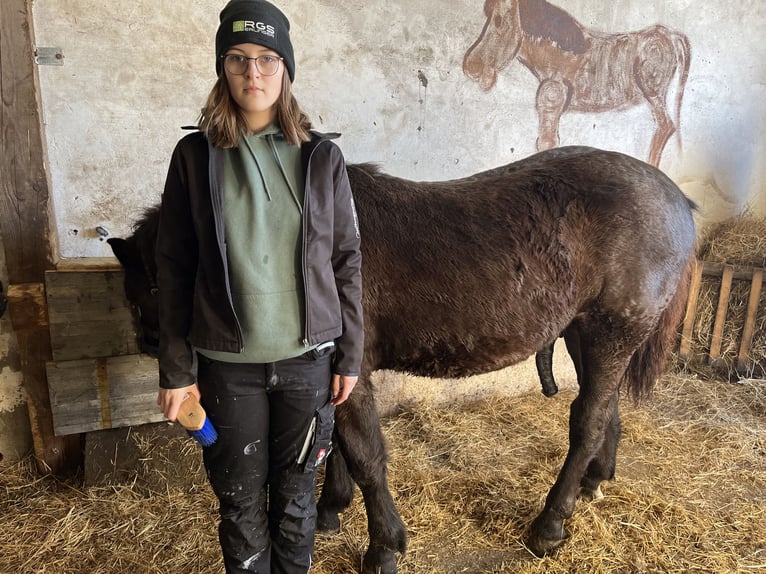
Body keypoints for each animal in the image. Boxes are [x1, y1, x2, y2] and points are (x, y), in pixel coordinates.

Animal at [109, 146, 704, 572]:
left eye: (152, 287)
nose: (147, 343)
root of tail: (676, 199)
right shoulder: (339, 376)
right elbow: (340, 447)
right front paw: (331, 509)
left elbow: (366, 456)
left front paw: (383, 547)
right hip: (586, 334)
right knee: (605, 413)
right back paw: (593, 483)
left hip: (610, 333)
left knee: (586, 423)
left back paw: (549, 527)